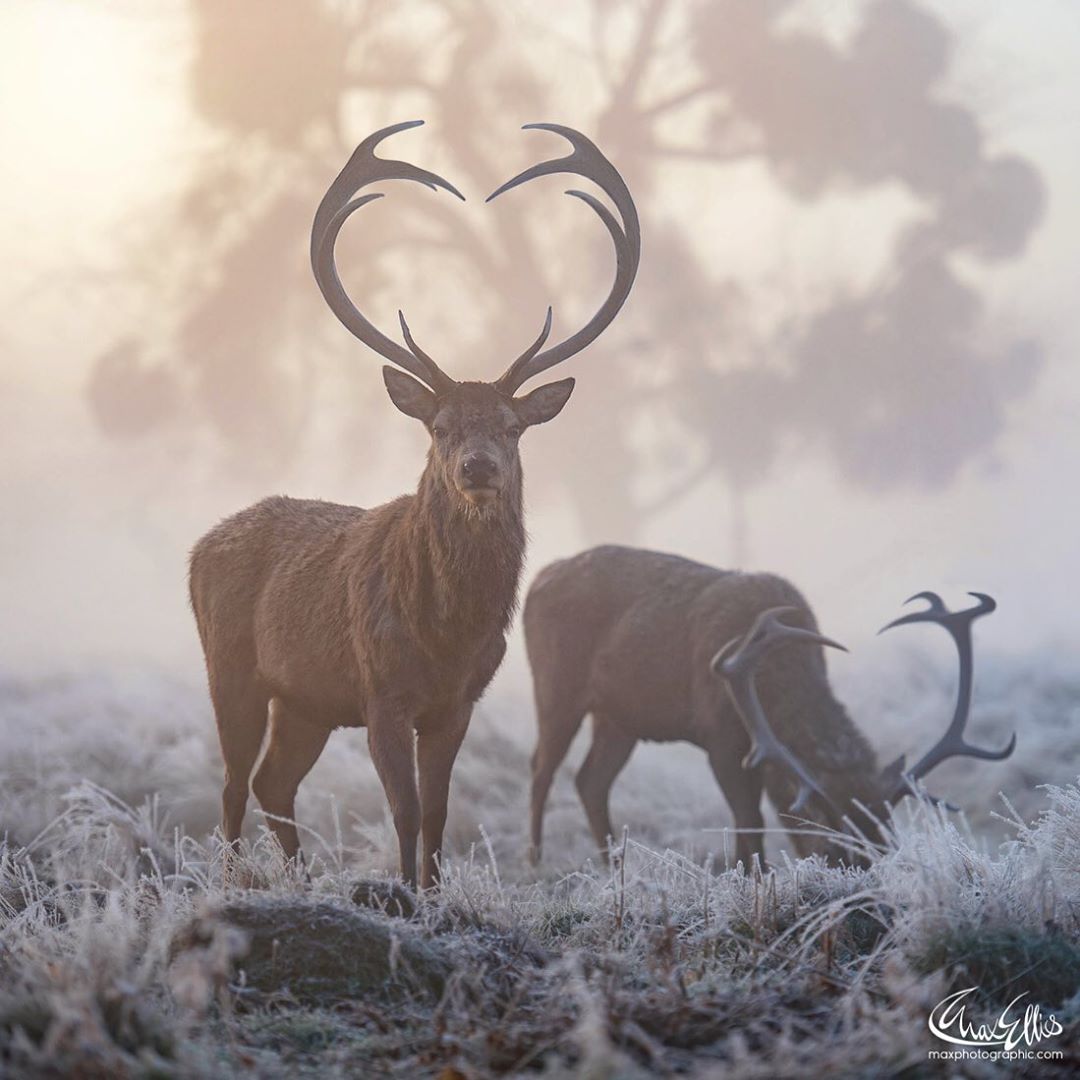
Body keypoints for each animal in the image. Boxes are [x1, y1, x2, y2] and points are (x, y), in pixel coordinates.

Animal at [186, 122, 639, 889]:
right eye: (440, 426)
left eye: (511, 427)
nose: (478, 466)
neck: (447, 634)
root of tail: (196, 549)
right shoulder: (382, 691)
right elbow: (402, 810)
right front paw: (404, 894)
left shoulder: (459, 702)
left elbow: (438, 814)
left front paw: (432, 891)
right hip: (231, 666)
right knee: (230, 785)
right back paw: (233, 882)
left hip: (305, 699)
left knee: (273, 782)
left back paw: (301, 879)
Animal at [522, 548, 1010, 868]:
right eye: (834, 848)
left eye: (885, 844)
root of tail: (538, 578)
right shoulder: (721, 738)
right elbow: (749, 821)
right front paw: (752, 880)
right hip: (555, 686)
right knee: (541, 768)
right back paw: (536, 862)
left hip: (619, 718)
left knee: (590, 781)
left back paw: (612, 866)